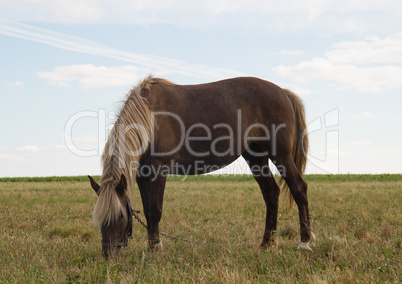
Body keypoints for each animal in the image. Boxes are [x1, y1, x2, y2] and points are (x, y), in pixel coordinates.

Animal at [87, 75, 314, 260]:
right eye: (99, 220)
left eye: (120, 217)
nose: (108, 256)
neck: (149, 117)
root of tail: (283, 92)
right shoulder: (143, 175)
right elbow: (147, 210)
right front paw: (152, 247)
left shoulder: (159, 171)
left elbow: (154, 210)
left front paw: (154, 250)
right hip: (255, 156)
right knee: (271, 193)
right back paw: (266, 244)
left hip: (281, 156)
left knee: (299, 189)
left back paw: (304, 243)